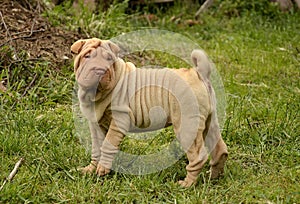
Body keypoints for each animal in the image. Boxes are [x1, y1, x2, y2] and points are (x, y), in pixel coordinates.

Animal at [70, 37, 229, 187]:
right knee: (220, 149)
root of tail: (198, 73)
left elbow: (108, 145)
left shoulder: (119, 120)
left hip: (187, 125)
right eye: (87, 56)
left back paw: (187, 184)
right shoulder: (96, 123)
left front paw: (102, 170)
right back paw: (213, 177)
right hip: (209, 120)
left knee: (198, 156)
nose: (100, 70)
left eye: (109, 59)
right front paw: (90, 170)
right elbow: (97, 147)